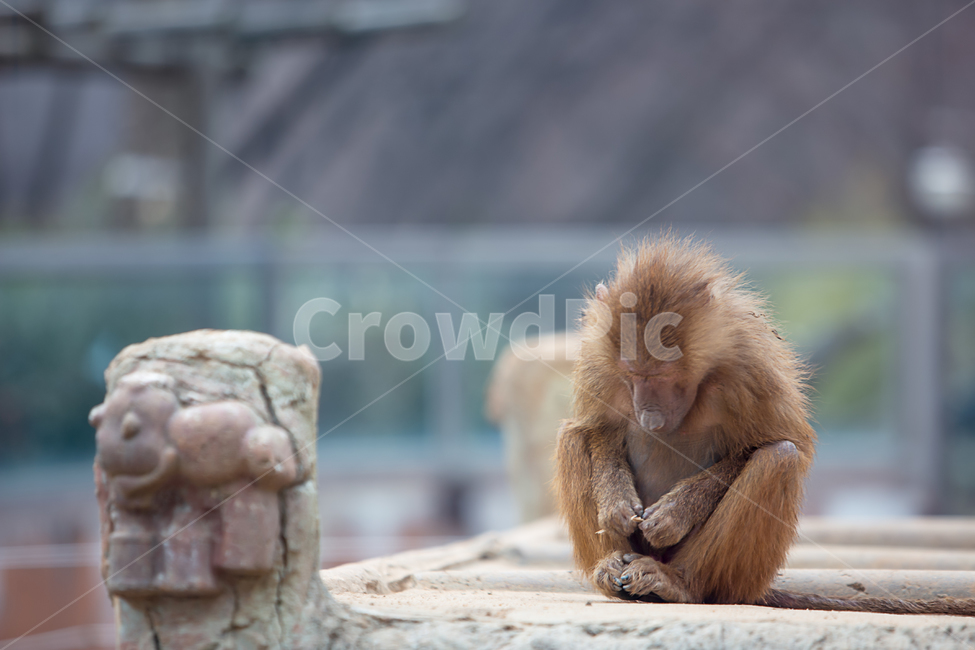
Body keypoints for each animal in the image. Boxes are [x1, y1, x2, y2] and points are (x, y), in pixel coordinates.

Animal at [554, 235, 975, 616]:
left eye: (663, 374)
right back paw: (610, 567)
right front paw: (616, 503)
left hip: (735, 577)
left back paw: (681, 584)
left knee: (779, 459)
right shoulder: (596, 361)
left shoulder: (750, 366)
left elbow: (788, 443)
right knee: (570, 438)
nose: (649, 415)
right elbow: (593, 429)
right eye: (632, 374)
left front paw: (674, 513)